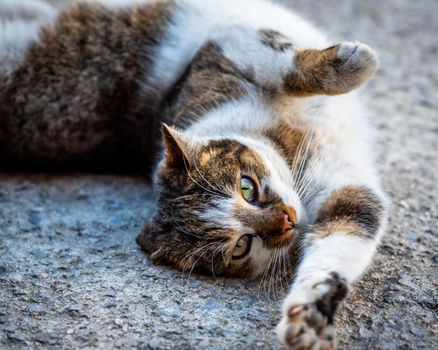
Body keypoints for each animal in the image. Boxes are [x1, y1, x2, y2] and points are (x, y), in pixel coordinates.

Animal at [1, 0, 388, 348]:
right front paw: (308, 317)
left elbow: (283, 64)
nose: (289, 221)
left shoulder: (224, 48)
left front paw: (354, 64)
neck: (290, 152)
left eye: (246, 187)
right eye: (241, 247)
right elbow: (343, 234)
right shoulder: (348, 195)